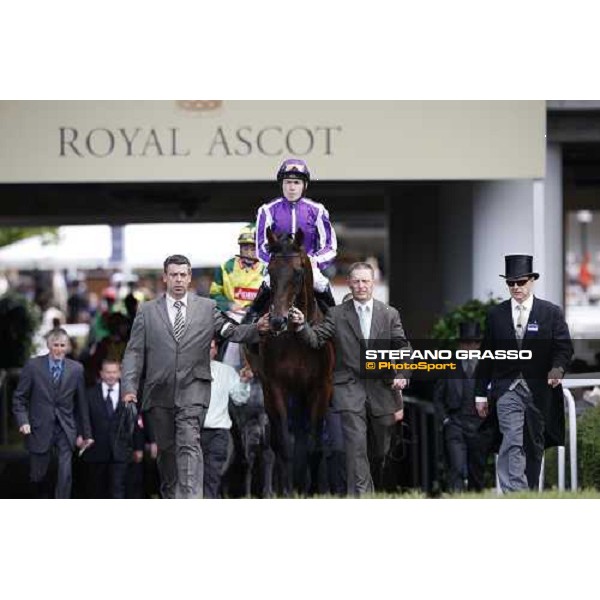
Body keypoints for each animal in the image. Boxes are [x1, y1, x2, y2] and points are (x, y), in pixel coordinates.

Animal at [254, 227, 338, 494]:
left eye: (298, 272)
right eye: (271, 270)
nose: (277, 321)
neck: (295, 338)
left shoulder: (321, 387)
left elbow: (314, 445)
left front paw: (314, 490)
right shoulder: (276, 386)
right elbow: (283, 444)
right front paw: (288, 490)